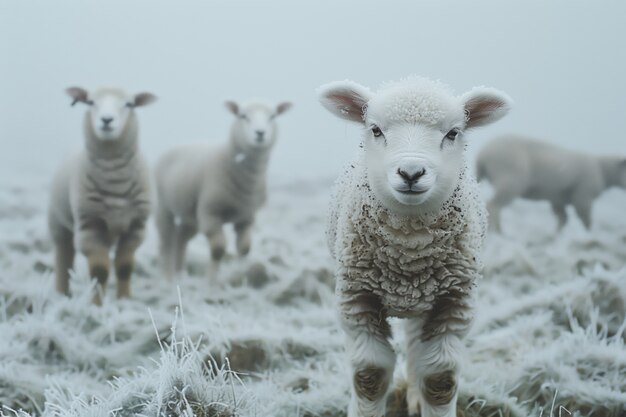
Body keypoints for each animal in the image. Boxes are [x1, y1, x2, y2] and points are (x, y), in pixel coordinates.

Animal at [47, 86, 156, 304]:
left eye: (129, 104)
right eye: (90, 102)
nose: (106, 120)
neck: (115, 181)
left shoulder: (136, 228)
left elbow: (124, 267)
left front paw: (125, 300)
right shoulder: (89, 226)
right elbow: (99, 271)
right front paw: (96, 304)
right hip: (58, 225)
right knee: (63, 259)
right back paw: (61, 294)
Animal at [156, 99, 292, 282]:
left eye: (273, 116)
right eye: (243, 116)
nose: (260, 133)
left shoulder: (247, 217)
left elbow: (244, 248)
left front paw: (240, 274)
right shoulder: (210, 214)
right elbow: (218, 249)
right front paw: (211, 282)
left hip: (191, 215)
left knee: (181, 237)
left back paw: (179, 274)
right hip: (163, 206)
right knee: (166, 241)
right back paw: (167, 277)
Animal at [316, 75, 512, 416]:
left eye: (453, 133)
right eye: (376, 130)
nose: (411, 172)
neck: (408, 249)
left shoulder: (454, 301)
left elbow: (440, 379)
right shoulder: (357, 299)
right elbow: (369, 376)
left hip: (427, 299)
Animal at [476, 136, 620, 234]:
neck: (602, 169)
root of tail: (482, 155)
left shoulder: (557, 199)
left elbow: (563, 219)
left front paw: (556, 236)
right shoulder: (583, 197)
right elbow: (586, 220)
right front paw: (589, 235)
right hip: (510, 181)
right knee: (494, 205)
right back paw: (498, 231)